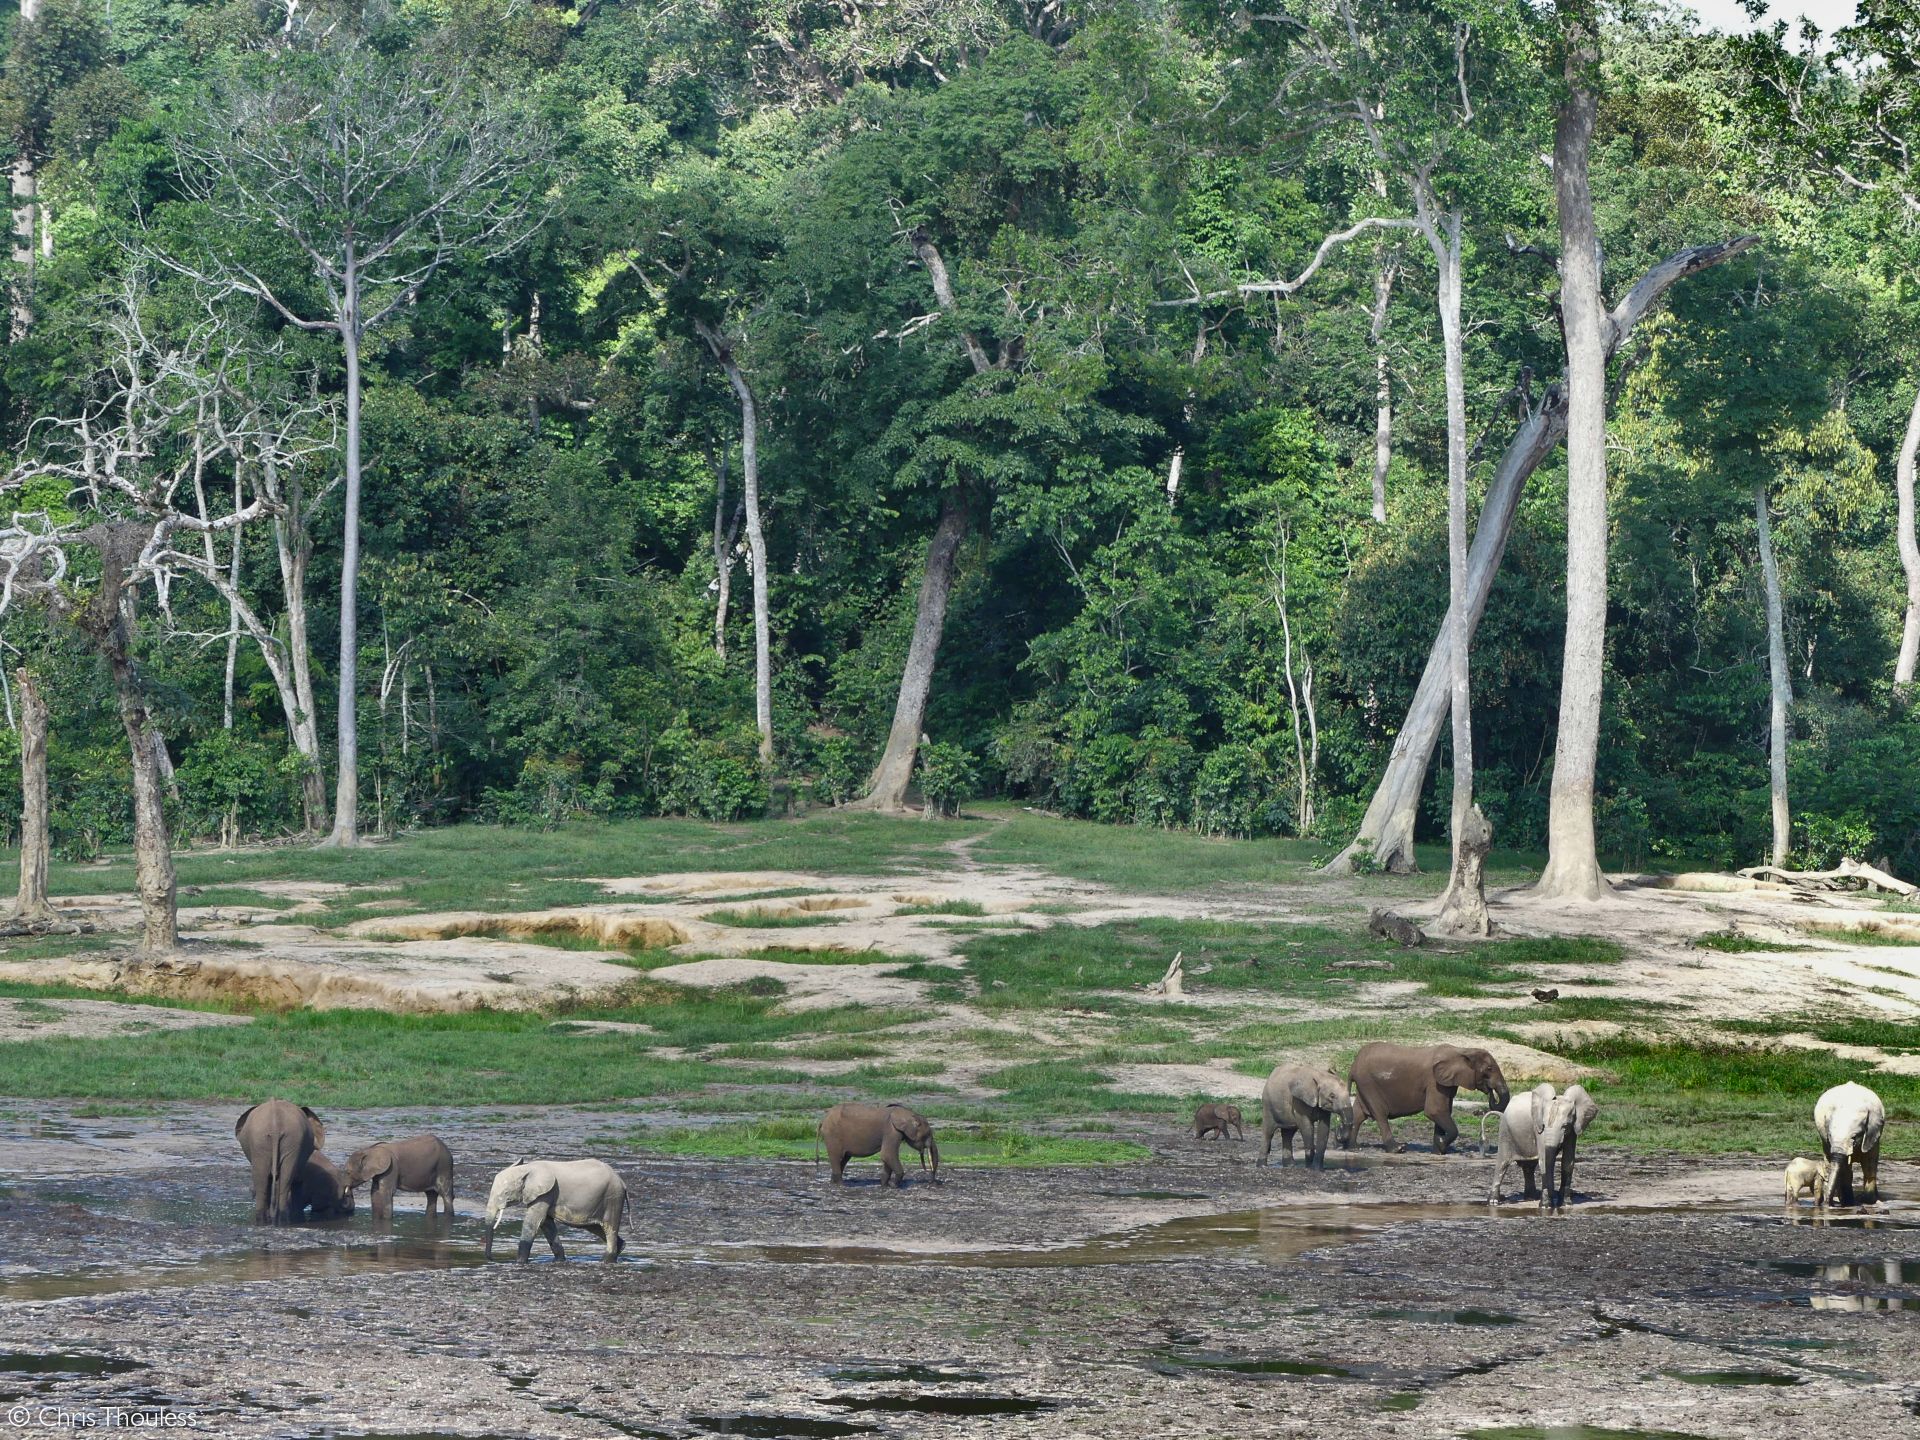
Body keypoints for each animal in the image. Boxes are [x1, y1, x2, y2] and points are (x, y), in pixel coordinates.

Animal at [483, 1159, 625, 1259]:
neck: (527, 1168)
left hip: (613, 1197)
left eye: (506, 1193)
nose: (493, 1258)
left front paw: (519, 1262)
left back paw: (607, 1259)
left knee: (609, 1227)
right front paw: (560, 1260)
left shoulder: (546, 1193)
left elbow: (533, 1222)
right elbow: (546, 1224)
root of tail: (622, 1181)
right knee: (594, 1226)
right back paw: (620, 1248)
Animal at [1344, 1044, 1505, 1159]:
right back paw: (1398, 1149)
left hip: (1364, 1086)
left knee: (1358, 1114)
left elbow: (1443, 1112)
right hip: (1368, 1084)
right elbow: (1435, 1111)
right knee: (1380, 1114)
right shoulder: (1434, 1081)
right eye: (1489, 1069)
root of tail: (1353, 1065)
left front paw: (1438, 1150)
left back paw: (1353, 1147)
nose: (1490, 1092)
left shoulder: (1446, 1083)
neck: (1463, 1051)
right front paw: (1441, 1145)